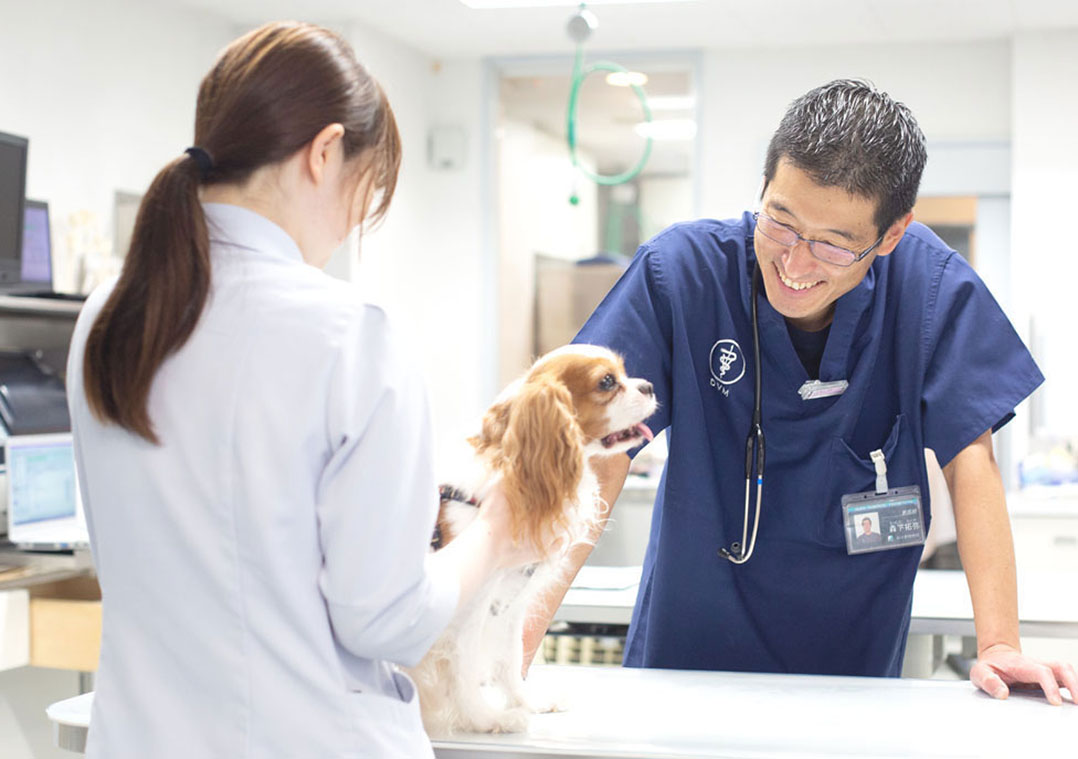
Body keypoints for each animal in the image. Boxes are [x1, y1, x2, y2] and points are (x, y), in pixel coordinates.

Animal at [409, 345, 655, 733]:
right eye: (607, 382)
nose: (649, 386)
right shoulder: (469, 607)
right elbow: (465, 668)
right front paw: (486, 718)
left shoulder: (510, 600)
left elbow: (510, 659)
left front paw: (526, 701)